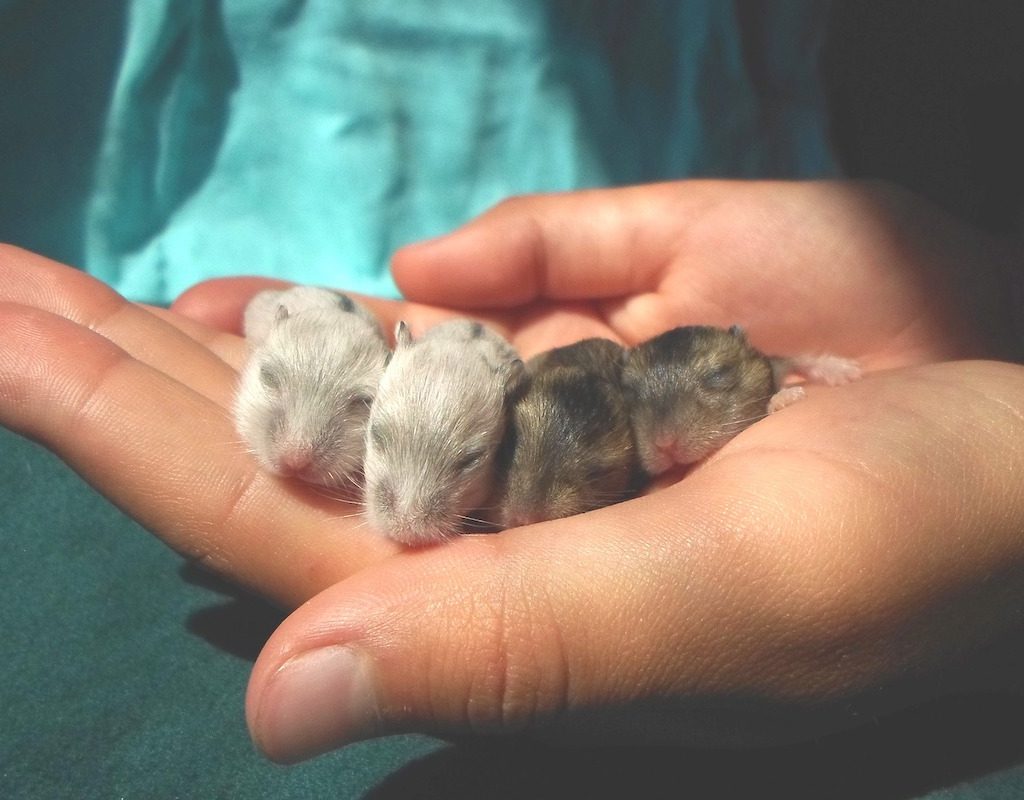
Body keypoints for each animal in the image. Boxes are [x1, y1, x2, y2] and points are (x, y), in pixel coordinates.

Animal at [622, 325, 861, 475]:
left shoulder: (773, 362)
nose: (665, 445)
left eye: (718, 374)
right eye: (630, 389)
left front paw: (849, 373)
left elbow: (798, 359)